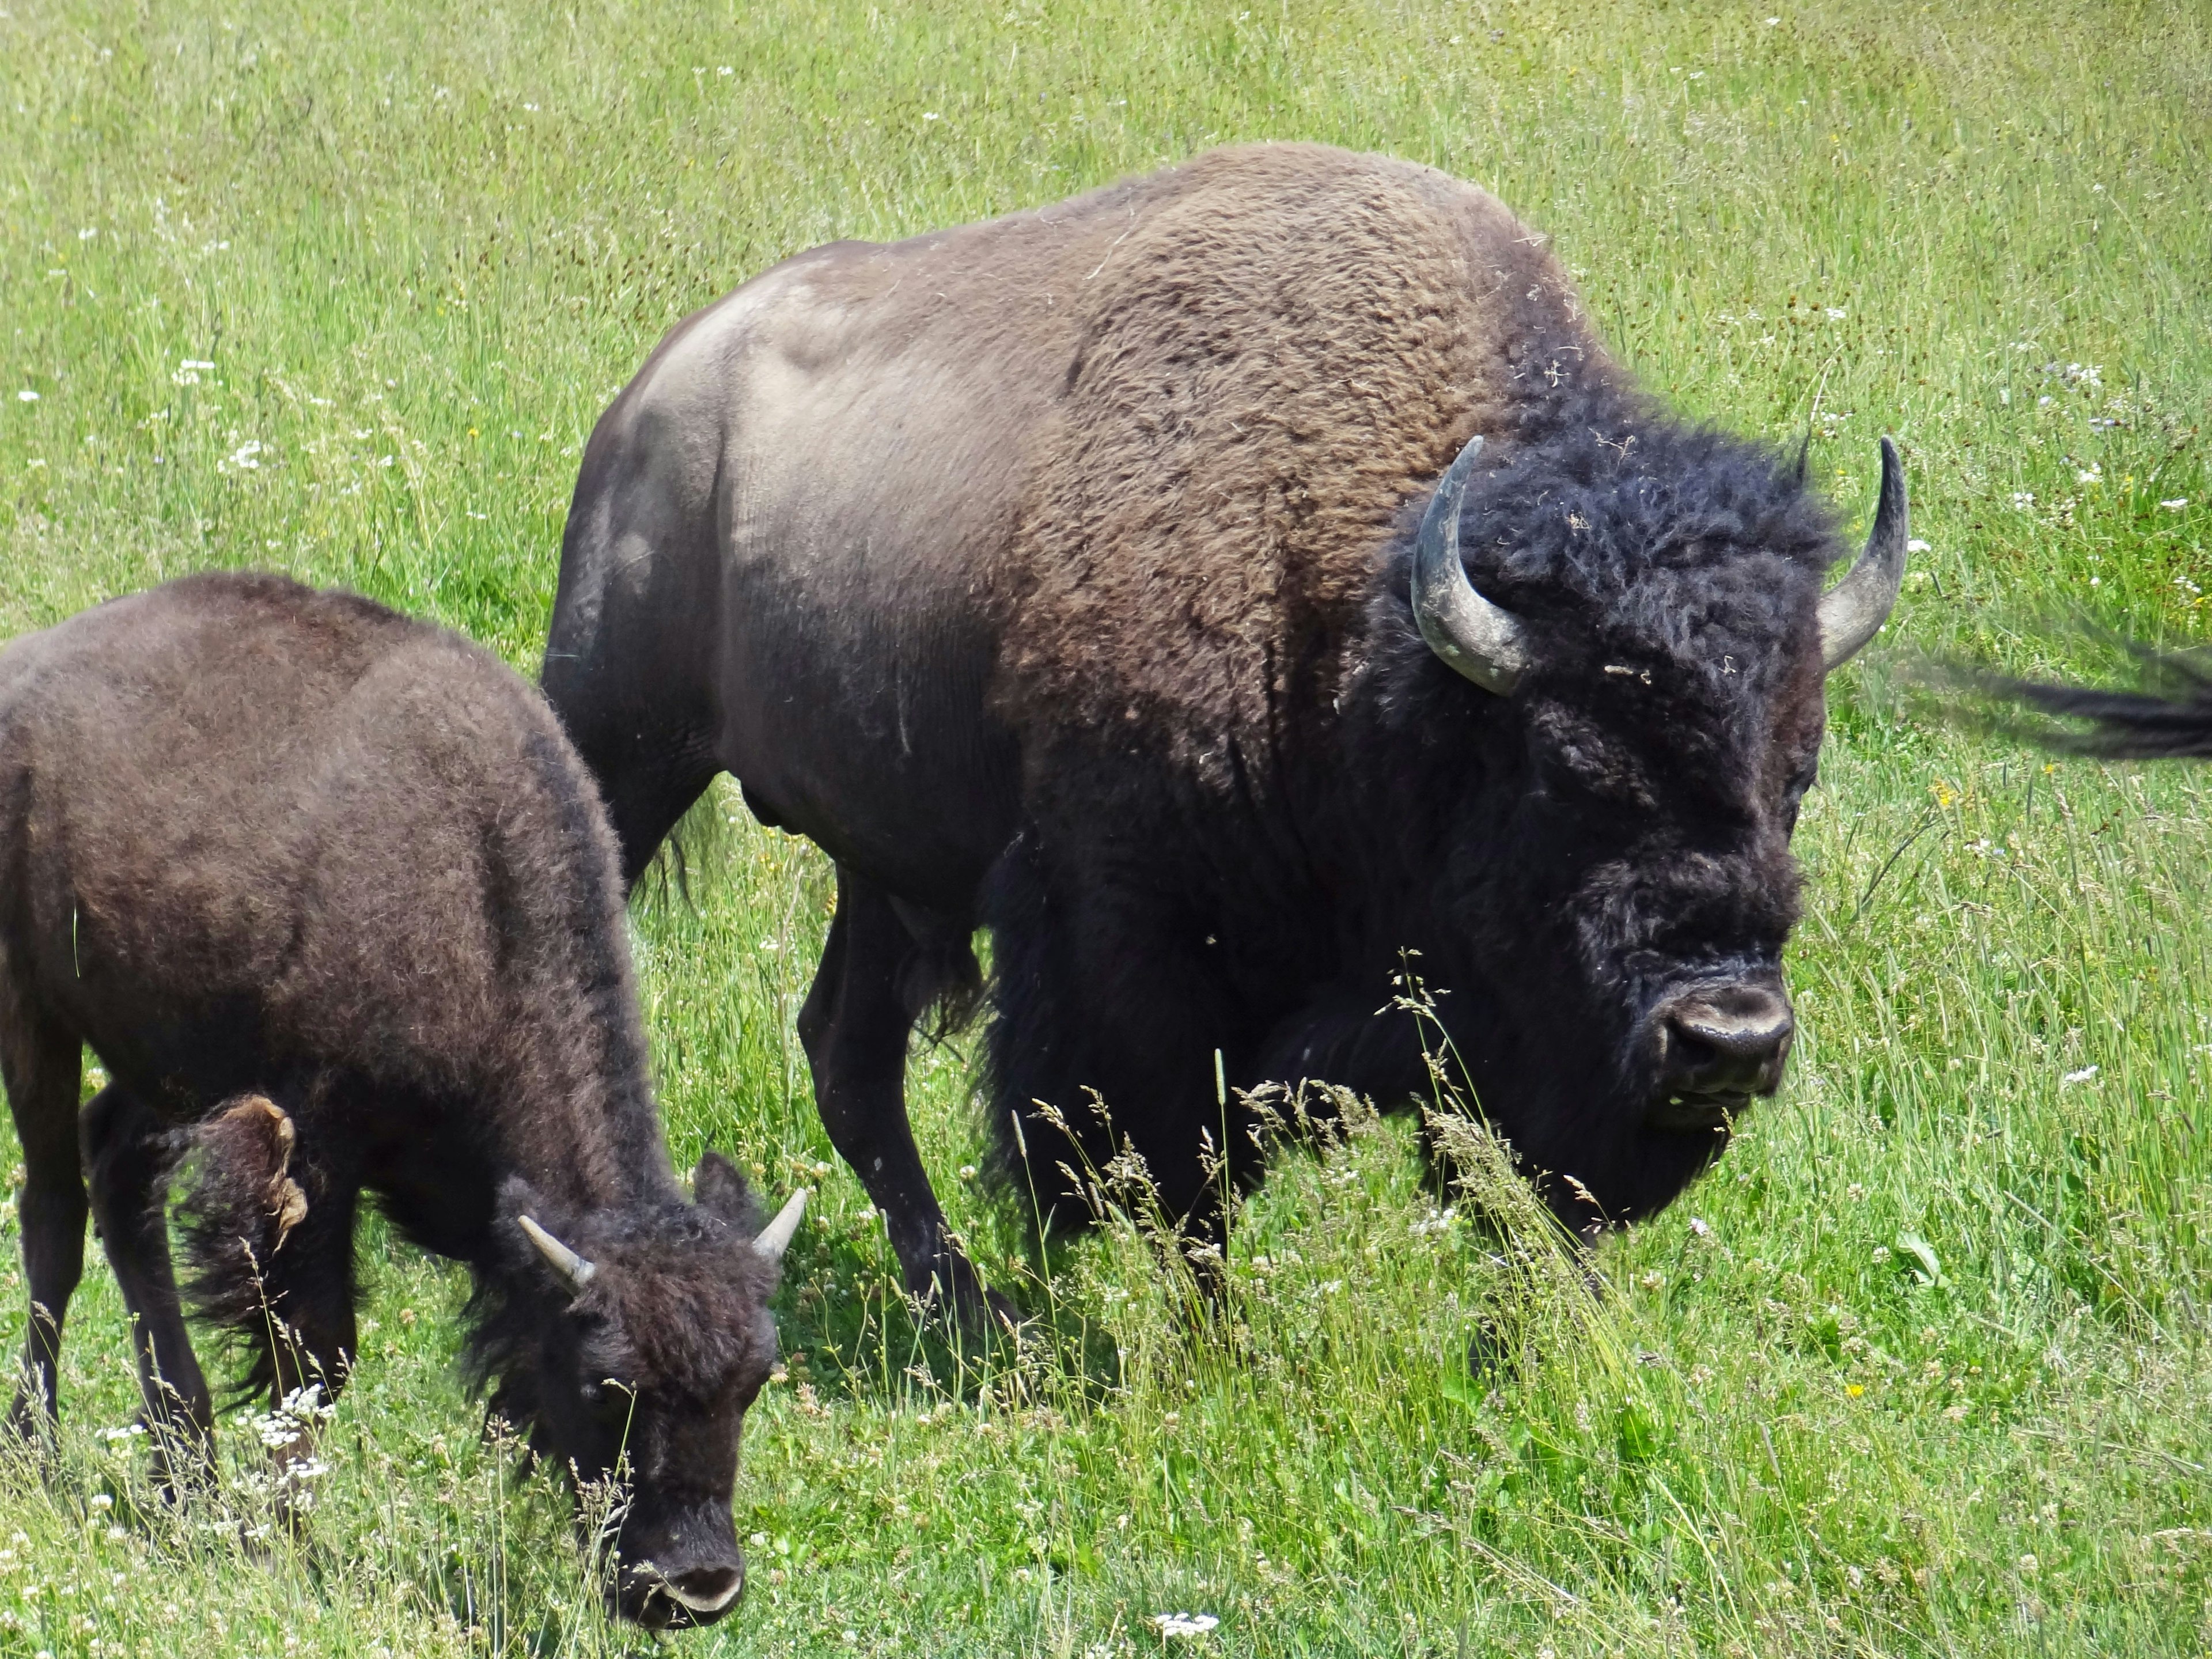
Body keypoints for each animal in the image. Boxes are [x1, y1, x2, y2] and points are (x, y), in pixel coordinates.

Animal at [0, 575, 809, 1637]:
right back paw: (38, 1450)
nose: (698, 1585)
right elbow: (315, 1358)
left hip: (158, 1057)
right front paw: (285, 1542)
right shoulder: (308, 1157)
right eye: (610, 1386)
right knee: (53, 1215)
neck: (476, 897)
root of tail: (22, 672)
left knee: (118, 1177)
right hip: (34, 1014)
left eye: (753, 1383)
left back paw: (188, 1468)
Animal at [544, 149, 1911, 1336]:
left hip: (882, 857)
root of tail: (652, 396)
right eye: (1572, 773)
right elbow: (1181, 1174)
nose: (1729, 1040)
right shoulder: (1136, 946)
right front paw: (1220, 1346)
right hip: (626, 740)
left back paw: (962, 1304)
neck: (1372, 619)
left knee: (848, 1053)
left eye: (1797, 776)